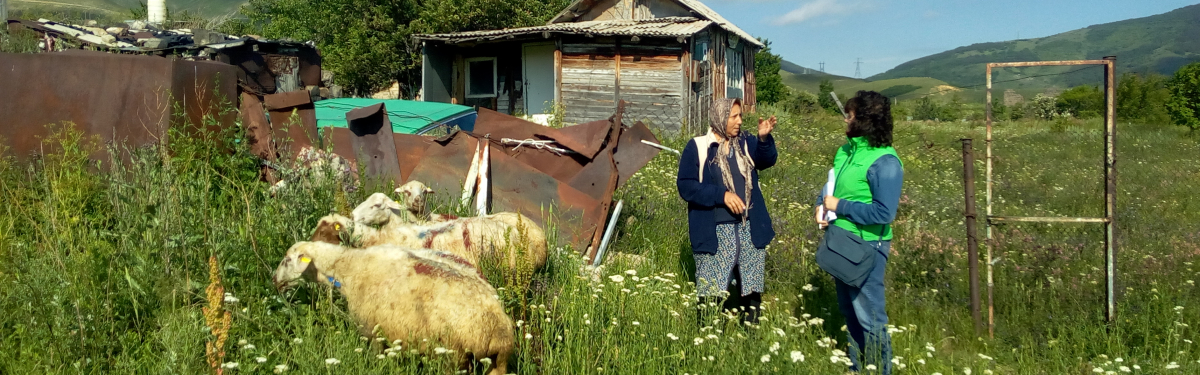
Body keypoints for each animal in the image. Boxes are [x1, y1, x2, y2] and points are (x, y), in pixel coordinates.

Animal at [272, 240, 511, 375]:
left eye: (287, 260)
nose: (274, 280)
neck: (348, 268)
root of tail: (498, 325)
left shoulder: (372, 332)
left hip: (453, 357)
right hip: (496, 362)